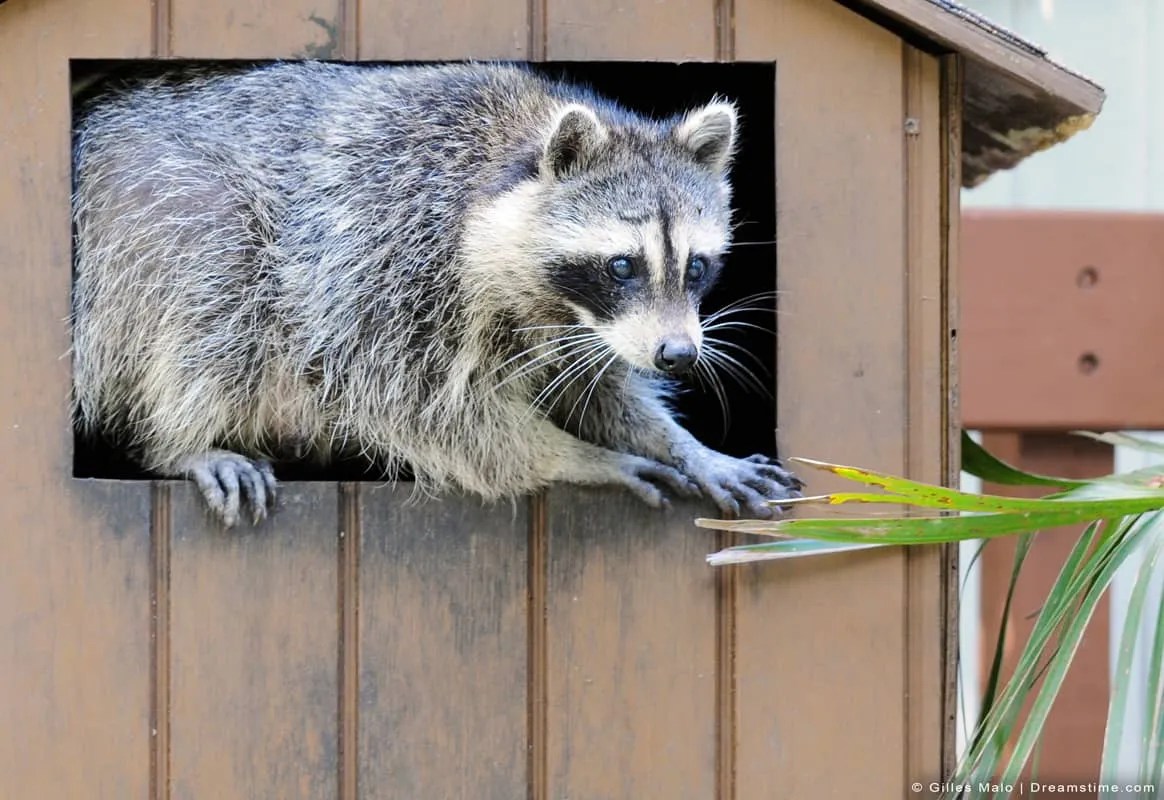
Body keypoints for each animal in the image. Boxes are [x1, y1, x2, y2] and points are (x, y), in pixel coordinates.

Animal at [72, 61, 802, 526]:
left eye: (698, 266)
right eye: (622, 265)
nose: (678, 355)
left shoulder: (581, 324)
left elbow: (592, 388)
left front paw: (680, 443)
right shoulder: (383, 257)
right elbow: (416, 406)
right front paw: (576, 457)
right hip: (145, 221)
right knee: (219, 280)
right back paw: (183, 439)